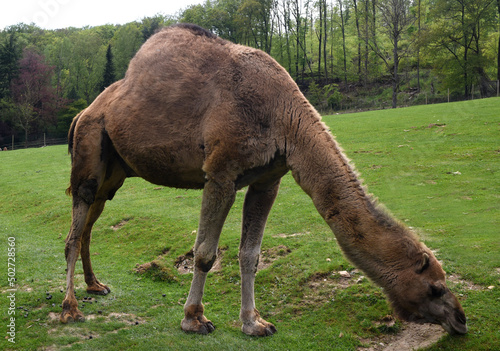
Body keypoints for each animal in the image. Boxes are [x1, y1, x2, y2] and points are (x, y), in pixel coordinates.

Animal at [62, 23, 468, 336]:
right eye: (435, 288)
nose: (461, 320)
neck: (282, 115)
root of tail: (82, 112)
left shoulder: (267, 180)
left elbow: (250, 255)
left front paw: (254, 323)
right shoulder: (220, 173)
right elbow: (205, 253)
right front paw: (194, 319)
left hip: (114, 172)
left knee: (88, 225)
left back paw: (95, 285)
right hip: (90, 149)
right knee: (74, 229)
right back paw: (70, 308)